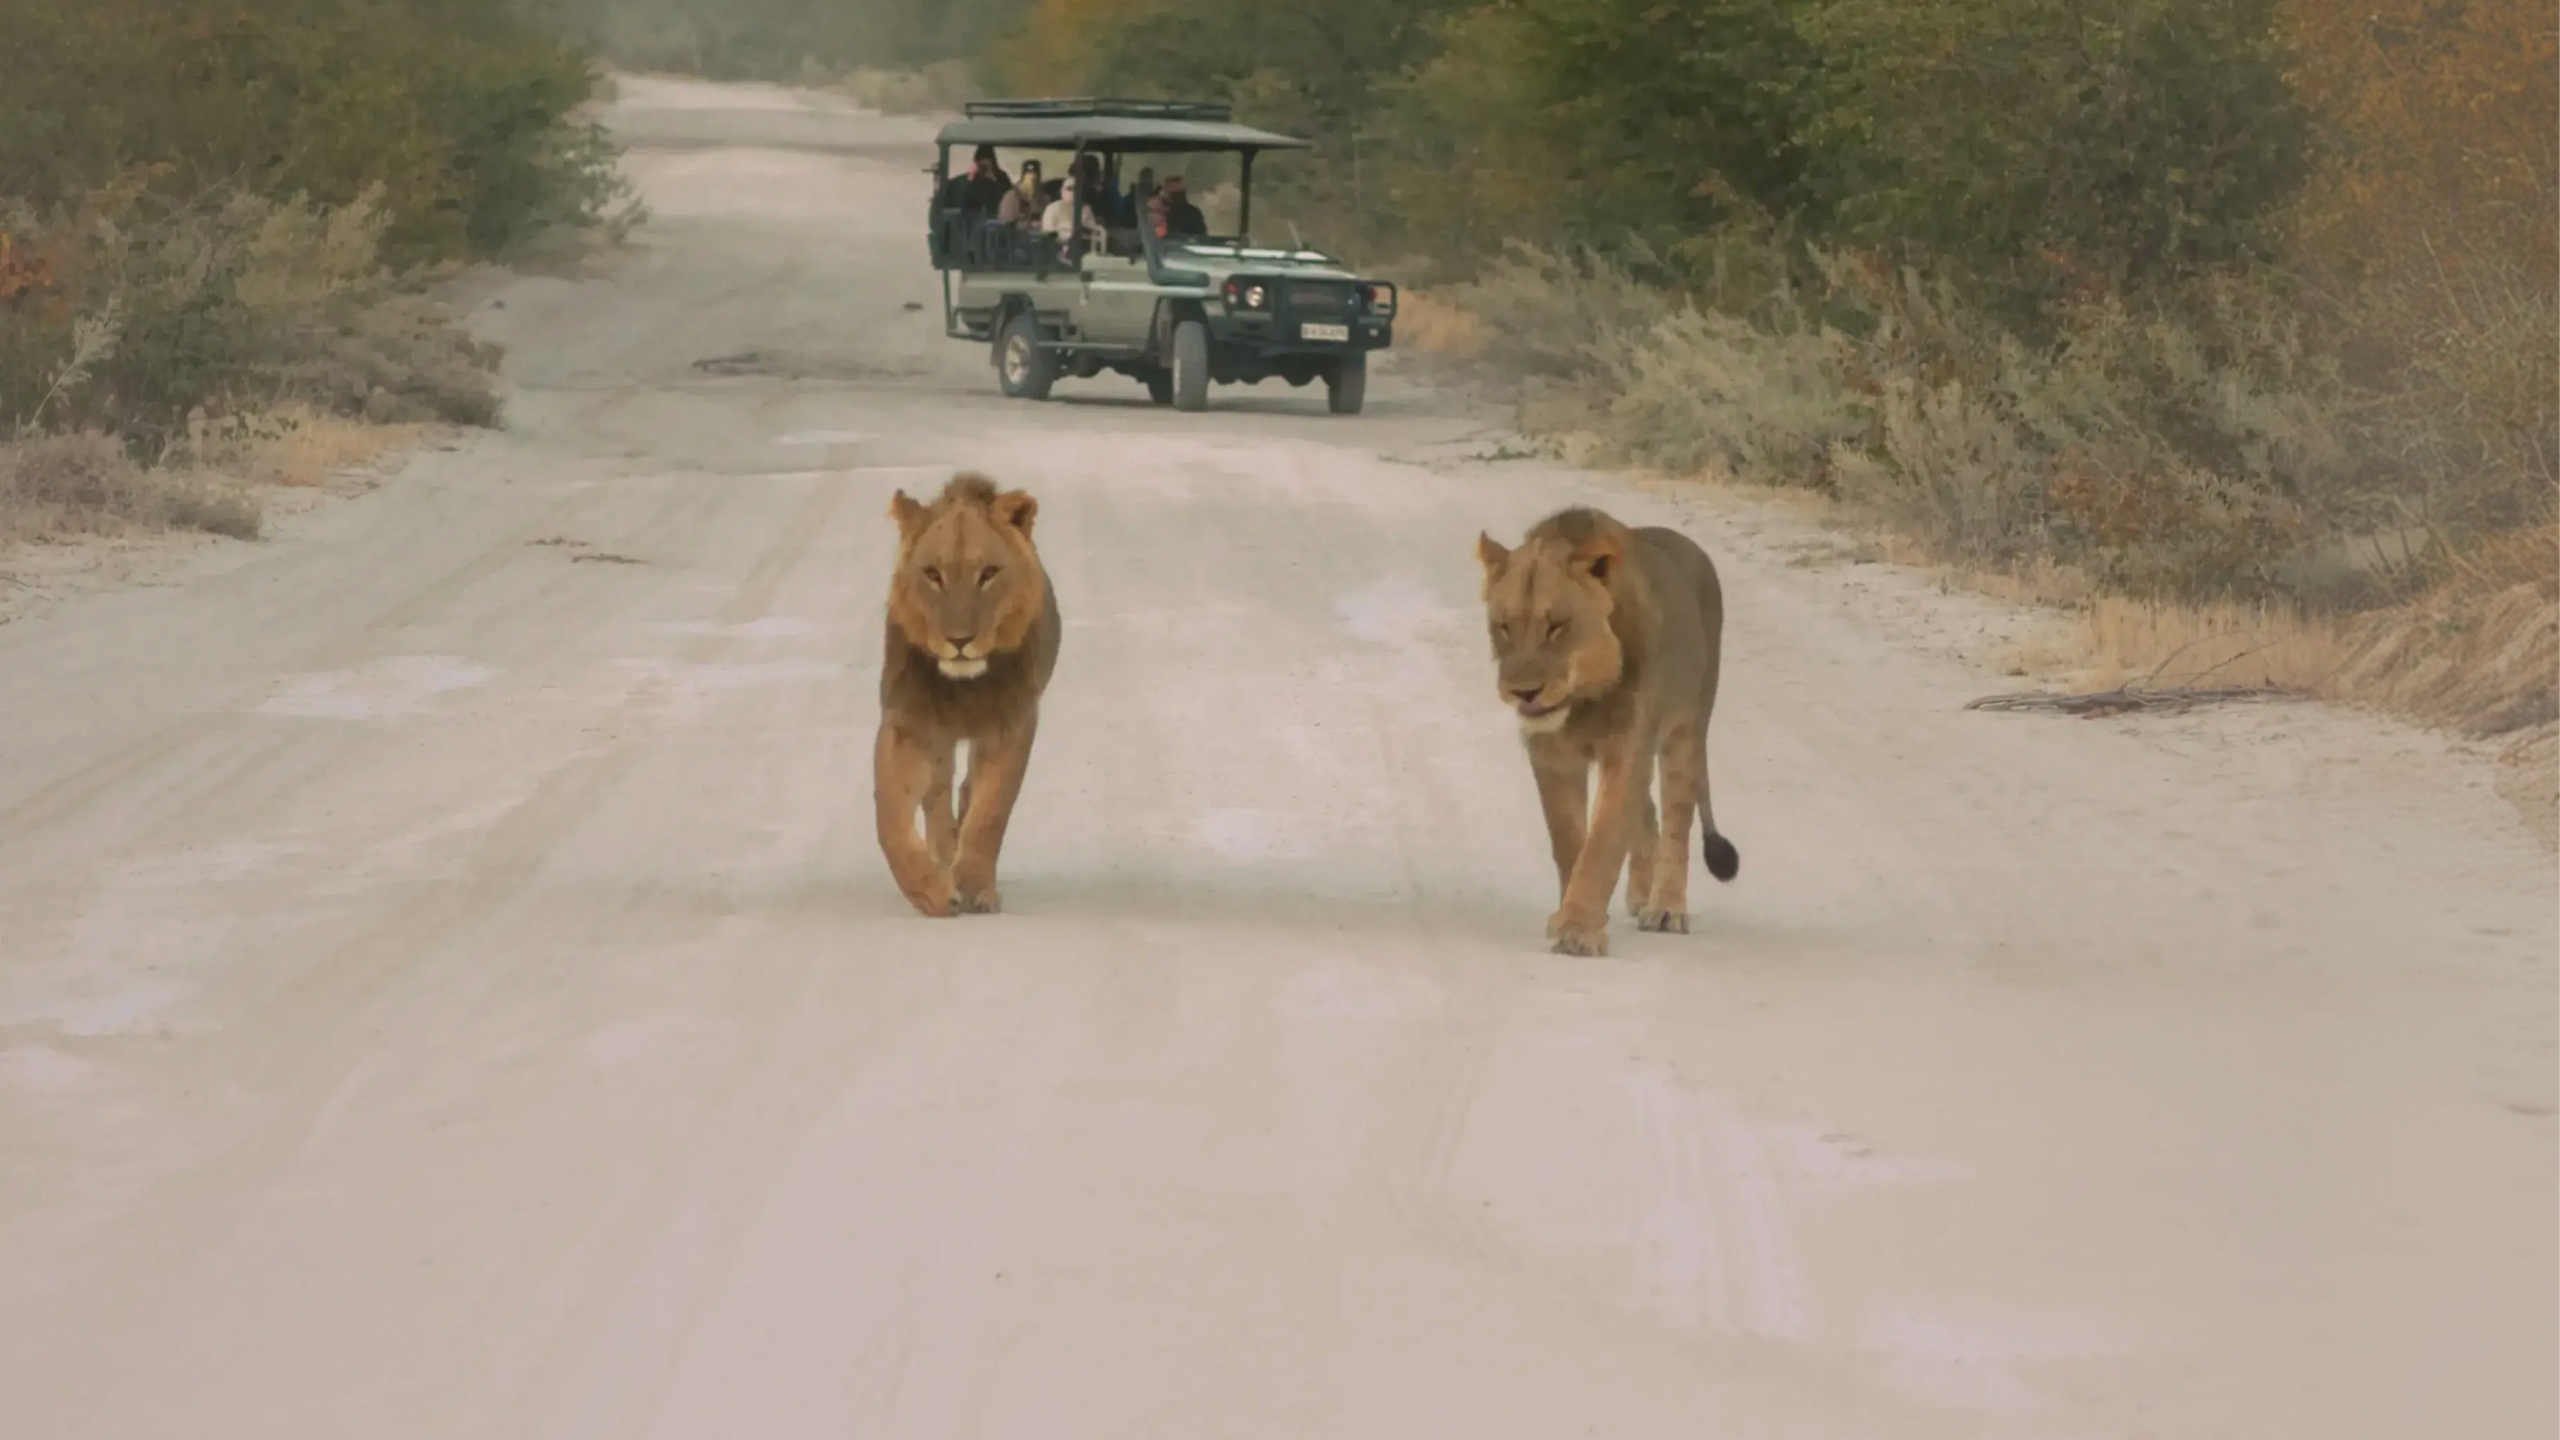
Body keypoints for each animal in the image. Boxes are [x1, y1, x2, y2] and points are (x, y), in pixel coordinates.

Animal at [876, 471, 1060, 918]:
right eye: (933, 574)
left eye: (988, 573)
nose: (959, 640)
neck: (964, 686)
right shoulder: (907, 721)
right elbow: (890, 811)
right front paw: (929, 890)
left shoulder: (1011, 725)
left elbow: (990, 812)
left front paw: (976, 886)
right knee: (938, 796)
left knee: (966, 791)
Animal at [1474, 506, 1740, 956]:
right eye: (1504, 626)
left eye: (1556, 626)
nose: (1524, 692)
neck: (1585, 697)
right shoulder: (1552, 755)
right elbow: (1570, 840)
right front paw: (1571, 917)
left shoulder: (1630, 746)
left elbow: (1604, 841)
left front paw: (1579, 930)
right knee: (1647, 814)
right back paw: (1639, 894)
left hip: (1686, 729)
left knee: (1676, 818)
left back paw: (1665, 908)